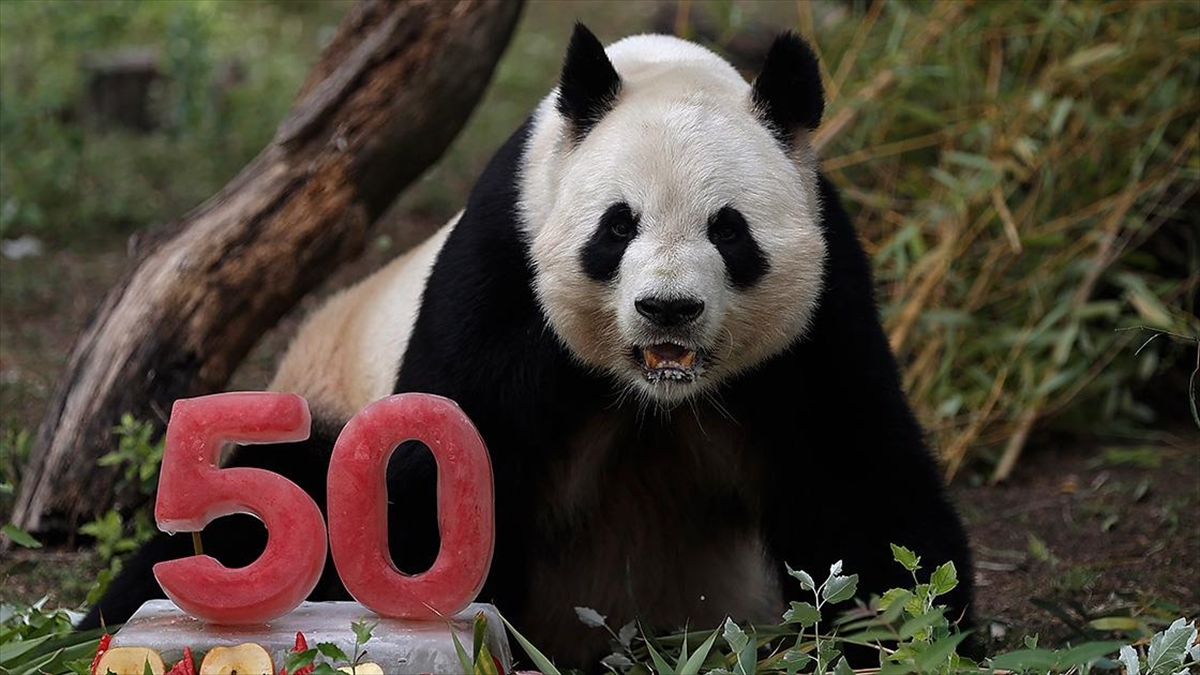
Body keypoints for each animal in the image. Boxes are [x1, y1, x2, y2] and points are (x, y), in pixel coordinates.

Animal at [84, 24, 975, 667]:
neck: (653, 400)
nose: (669, 309)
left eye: (730, 230)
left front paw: (915, 639)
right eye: (618, 226)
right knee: (261, 513)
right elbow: (437, 471)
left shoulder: (821, 311)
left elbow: (859, 478)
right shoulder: (501, 261)